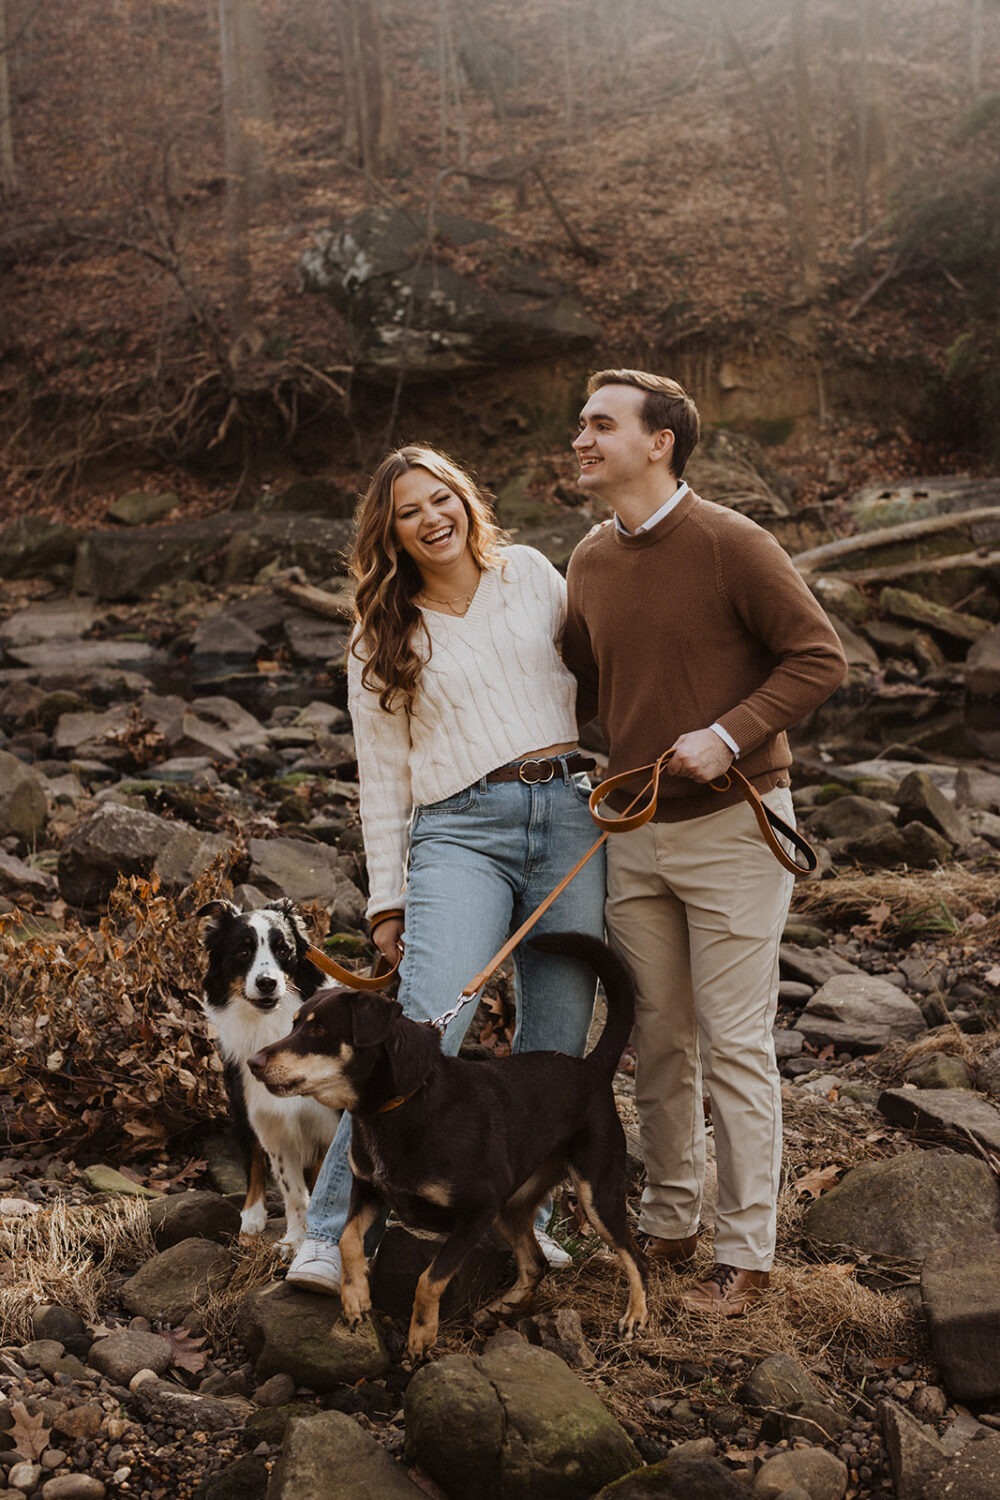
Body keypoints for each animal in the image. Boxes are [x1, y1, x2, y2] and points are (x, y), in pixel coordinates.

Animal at [197, 900, 341, 1254]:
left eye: (283, 950)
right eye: (243, 951)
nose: (267, 983)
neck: (270, 1025)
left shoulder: (330, 1126)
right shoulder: (272, 1124)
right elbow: (293, 1193)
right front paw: (294, 1241)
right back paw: (251, 1216)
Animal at [250, 924, 650, 1362]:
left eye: (320, 1031)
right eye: (293, 1025)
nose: (253, 1063)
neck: (400, 1106)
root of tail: (592, 1067)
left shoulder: (476, 1211)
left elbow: (430, 1277)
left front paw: (422, 1335)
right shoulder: (369, 1189)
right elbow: (349, 1239)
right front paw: (355, 1298)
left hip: (595, 1192)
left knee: (635, 1256)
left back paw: (635, 1316)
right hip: (511, 1207)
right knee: (535, 1264)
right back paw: (501, 1308)